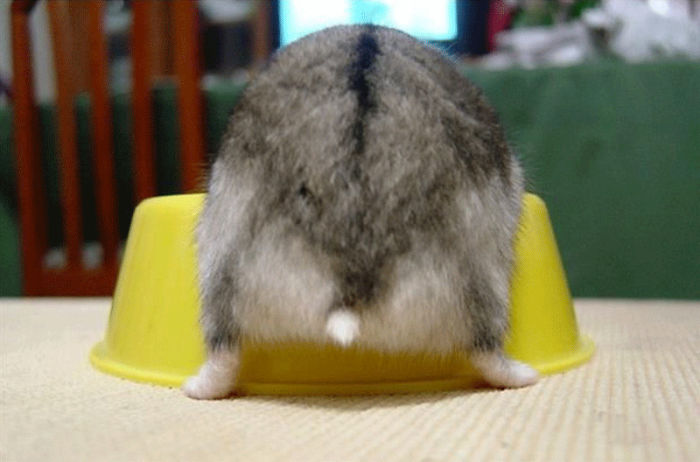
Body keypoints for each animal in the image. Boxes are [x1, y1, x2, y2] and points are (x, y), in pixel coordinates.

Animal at [183, 25, 538, 399]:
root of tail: (349, 278)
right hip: (484, 277)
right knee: (486, 349)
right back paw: (527, 375)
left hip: (222, 265)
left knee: (224, 350)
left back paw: (195, 388)